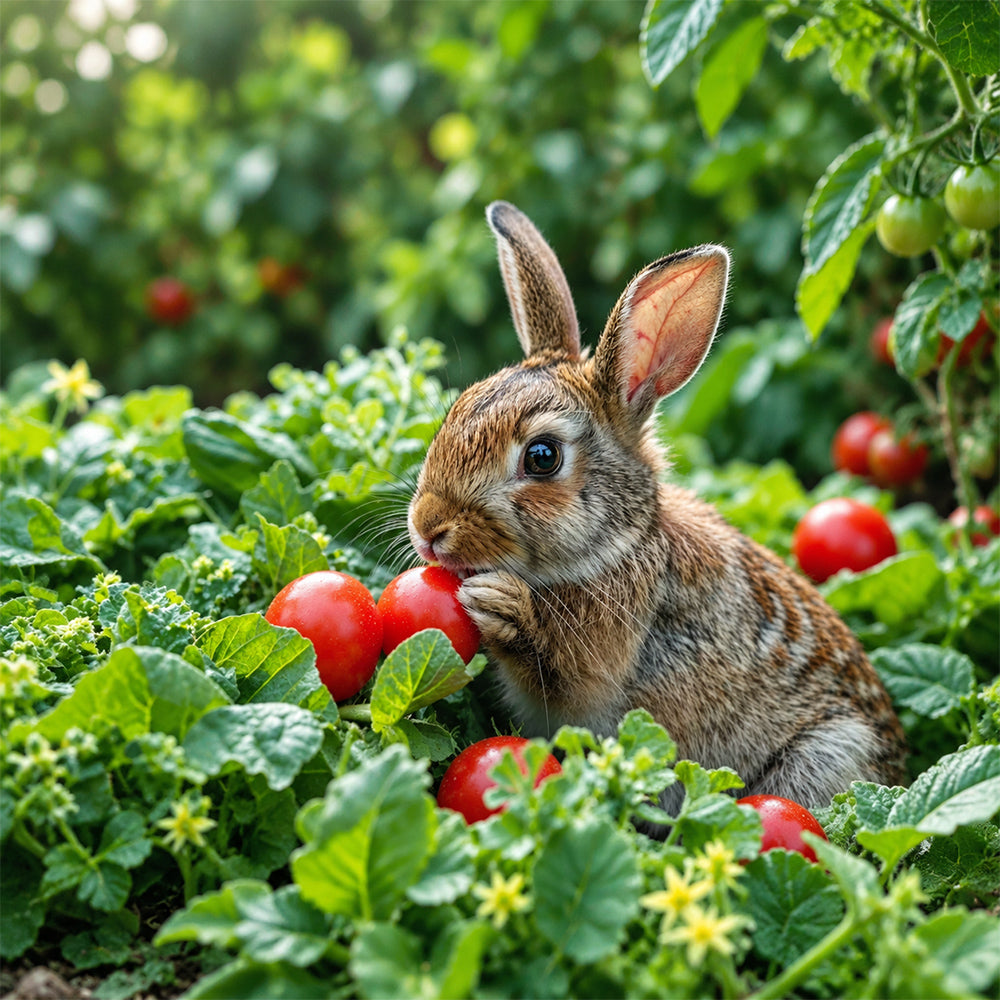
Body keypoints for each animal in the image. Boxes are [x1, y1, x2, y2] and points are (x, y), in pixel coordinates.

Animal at [408, 201, 907, 810]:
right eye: (453, 411)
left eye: (542, 457)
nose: (428, 527)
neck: (617, 546)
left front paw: (499, 603)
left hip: (826, 757)